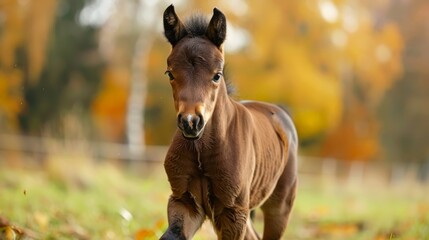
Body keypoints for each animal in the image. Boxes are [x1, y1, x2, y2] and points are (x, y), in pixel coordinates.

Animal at [160, 4, 298, 239]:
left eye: (217, 75)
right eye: (170, 73)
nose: (191, 122)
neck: (202, 151)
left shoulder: (233, 211)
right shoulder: (184, 201)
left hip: (279, 207)